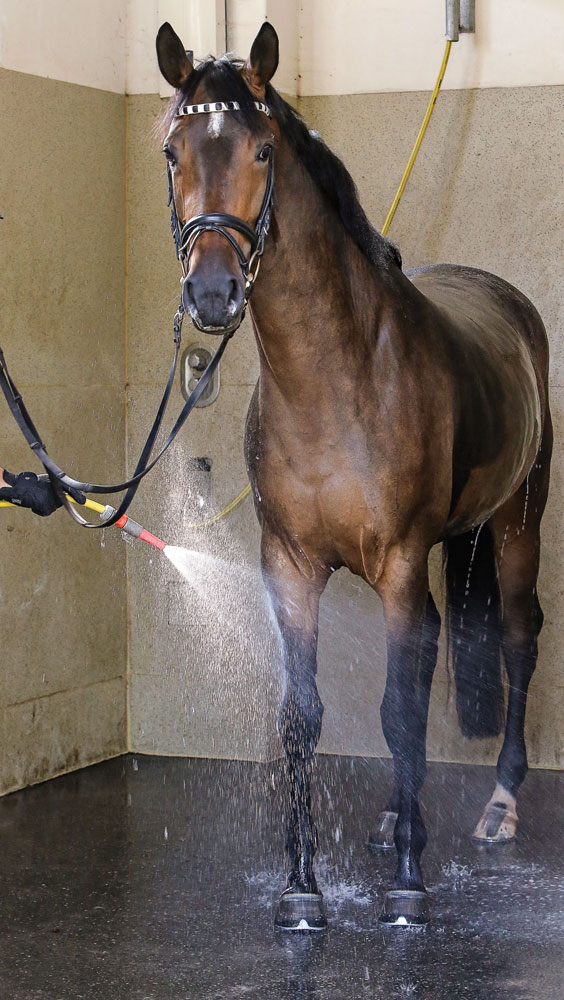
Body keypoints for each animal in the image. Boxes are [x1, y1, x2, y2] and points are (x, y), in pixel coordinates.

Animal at [156, 22, 552, 929]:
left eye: (263, 150)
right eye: (171, 151)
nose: (213, 291)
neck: (334, 382)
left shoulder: (399, 561)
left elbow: (399, 711)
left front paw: (408, 884)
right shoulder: (288, 565)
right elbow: (303, 719)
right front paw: (303, 889)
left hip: (517, 524)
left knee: (516, 640)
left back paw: (498, 807)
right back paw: (393, 816)